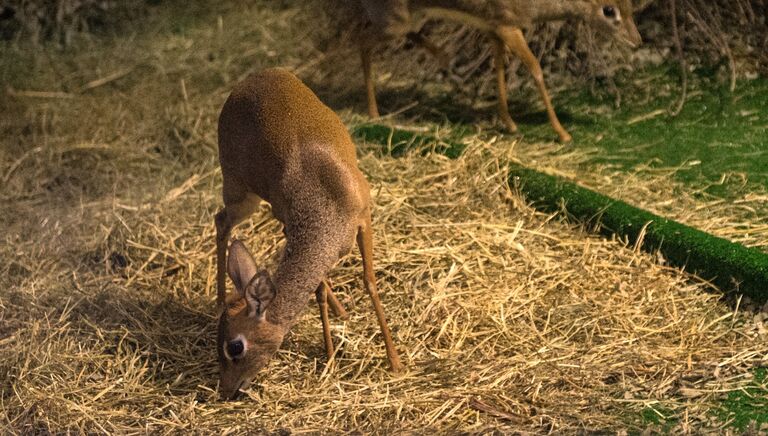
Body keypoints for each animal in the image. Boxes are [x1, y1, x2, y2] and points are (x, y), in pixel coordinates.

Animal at [212, 67, 400, 398]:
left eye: (235, 347)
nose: (226, 390)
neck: (324, 197)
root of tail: (252, 78)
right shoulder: (292, 226)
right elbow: (320, 290)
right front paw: (330, 358)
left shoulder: (364, 219)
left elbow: (369, 282)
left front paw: (395, 361)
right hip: (240, 192)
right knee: (221, 221)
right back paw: (221, 299)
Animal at [352, 0, 640, 141]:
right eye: (608, 10)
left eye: (630, 5)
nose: (637, 41)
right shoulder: (508, 26)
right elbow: (535, 69)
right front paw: (562, 133)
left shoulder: (494, 29)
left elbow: (499, 66)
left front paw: (509, 123)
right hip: (394, 22)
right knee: (363, 40)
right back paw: (374, 112)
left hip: (409, 20)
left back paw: (444, 57)